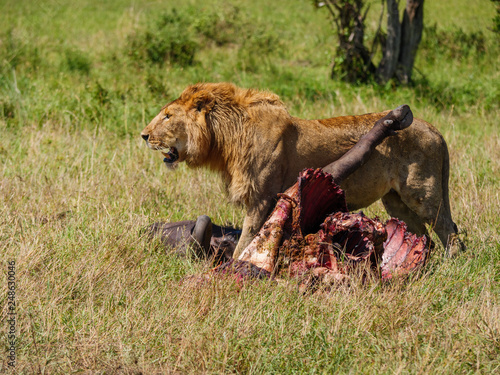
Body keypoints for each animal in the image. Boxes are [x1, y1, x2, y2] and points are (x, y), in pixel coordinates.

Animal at [140, 82, 460, 258]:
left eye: (167, 116)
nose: (143, 135)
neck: (226, 141)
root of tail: (435, 130)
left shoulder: (261, 199)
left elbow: (248, 237)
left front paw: (239, 262)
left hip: (423, 193)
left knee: (448, 229)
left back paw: (452, 264)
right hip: (395, 201)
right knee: (421, 233)